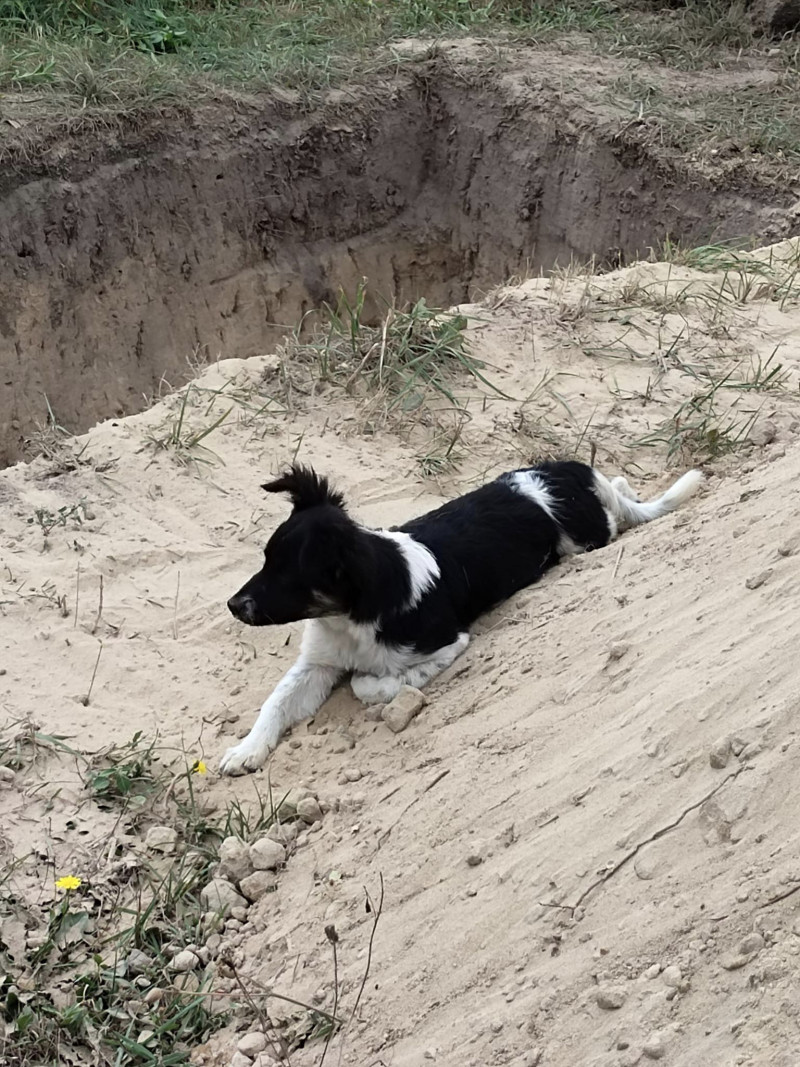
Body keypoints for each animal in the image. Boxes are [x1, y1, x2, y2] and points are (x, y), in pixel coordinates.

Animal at [219, 460, 699, 776]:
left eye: (288, 577)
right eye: (265, 561)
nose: (232, 605)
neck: (348, 620)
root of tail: (567, 469)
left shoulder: (449, 644)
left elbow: (371, 684)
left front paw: (373, 684)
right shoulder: (315, 665)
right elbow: (276, 701)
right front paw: (246, 750)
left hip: (585, 540)